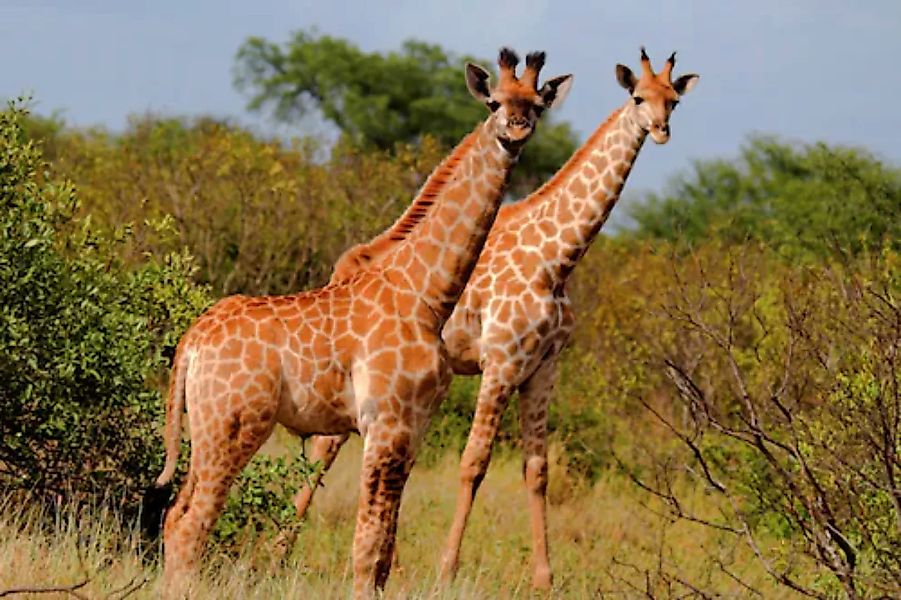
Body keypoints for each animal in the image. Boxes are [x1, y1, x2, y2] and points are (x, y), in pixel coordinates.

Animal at [150, 48, 568, 600]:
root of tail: (192, 340)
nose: (516, 128)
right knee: (191, 524)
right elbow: (366, 550)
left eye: (536, 105)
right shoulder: (384, 423)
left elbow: (385, 553)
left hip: (207, 428)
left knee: (176, 515)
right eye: (495, 102)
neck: (427, 295)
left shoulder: (413, 427)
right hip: (233, 425)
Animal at [292, 48, 700, 592]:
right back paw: (284, 548)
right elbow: (473, 463)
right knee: (326, 449)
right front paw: (447, 569)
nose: (660, 130)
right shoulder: (501, 363)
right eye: (637, 97)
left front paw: (544, 578)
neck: (558, 259)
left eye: (673, 100)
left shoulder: (543, 367)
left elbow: (537, 468)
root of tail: (347, 265)